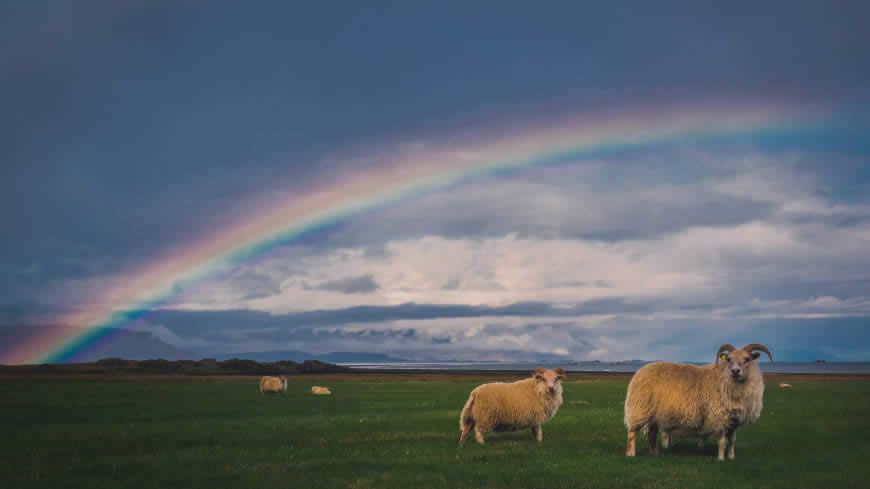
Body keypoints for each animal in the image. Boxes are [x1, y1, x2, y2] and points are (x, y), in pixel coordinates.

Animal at [624, 342, 772, 460]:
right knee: (632, 433)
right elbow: (722, 442)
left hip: (655, 414)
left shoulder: (734, 420)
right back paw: (631, 454)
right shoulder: (719, 418)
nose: (735, 371)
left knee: (652, 434)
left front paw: (731, 457)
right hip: (640, 408)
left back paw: (655, 453)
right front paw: (720, 459)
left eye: (747, 359)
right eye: (729, 359)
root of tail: (640, 371)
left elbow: (732, 441)